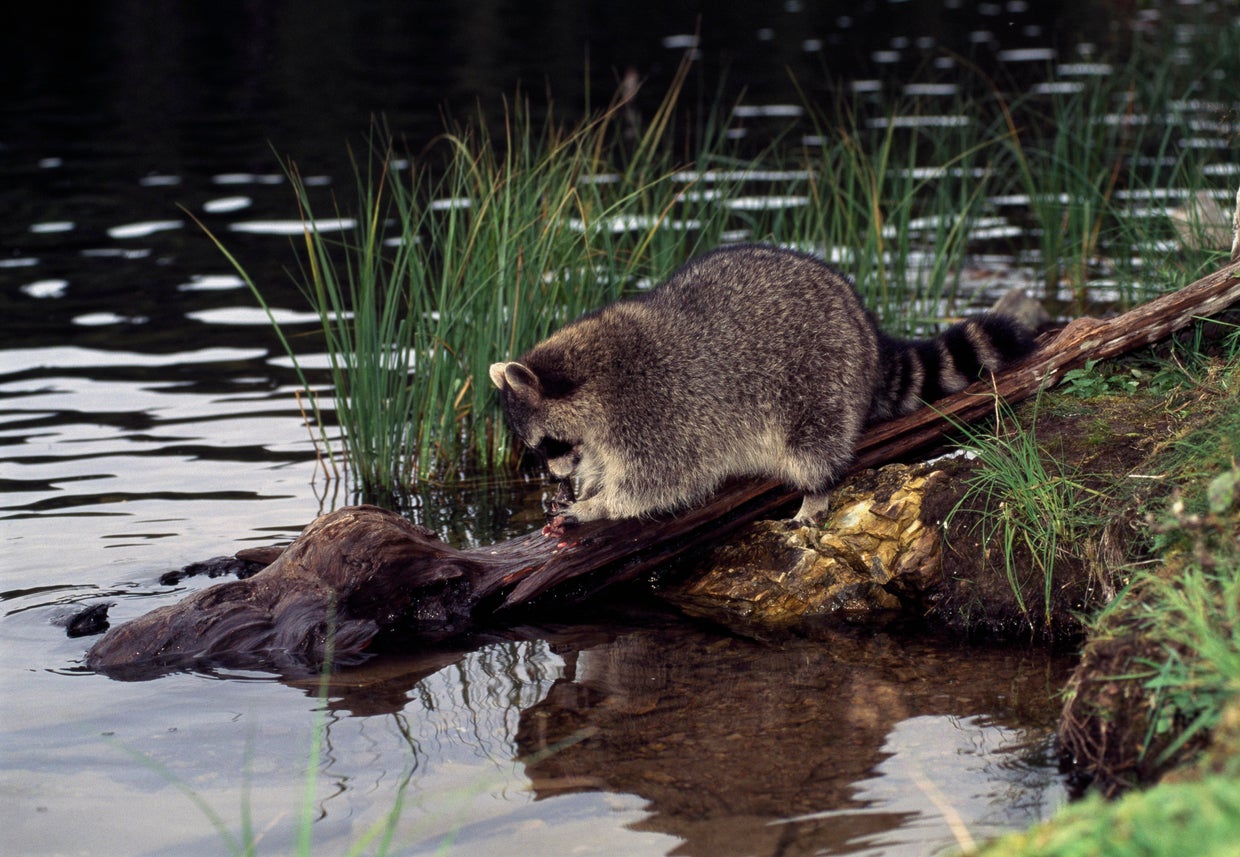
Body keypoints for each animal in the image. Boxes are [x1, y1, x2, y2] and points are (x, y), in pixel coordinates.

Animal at [489, 244, 1033, 531]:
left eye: (545, 445)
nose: (555, 476)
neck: (594, 374)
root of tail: (865, 331)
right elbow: (605, 459)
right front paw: (588, 484)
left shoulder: (656, 411)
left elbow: (660, 481)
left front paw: (597, 504)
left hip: (820, 378)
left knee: (813, 445)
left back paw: (815, 491)